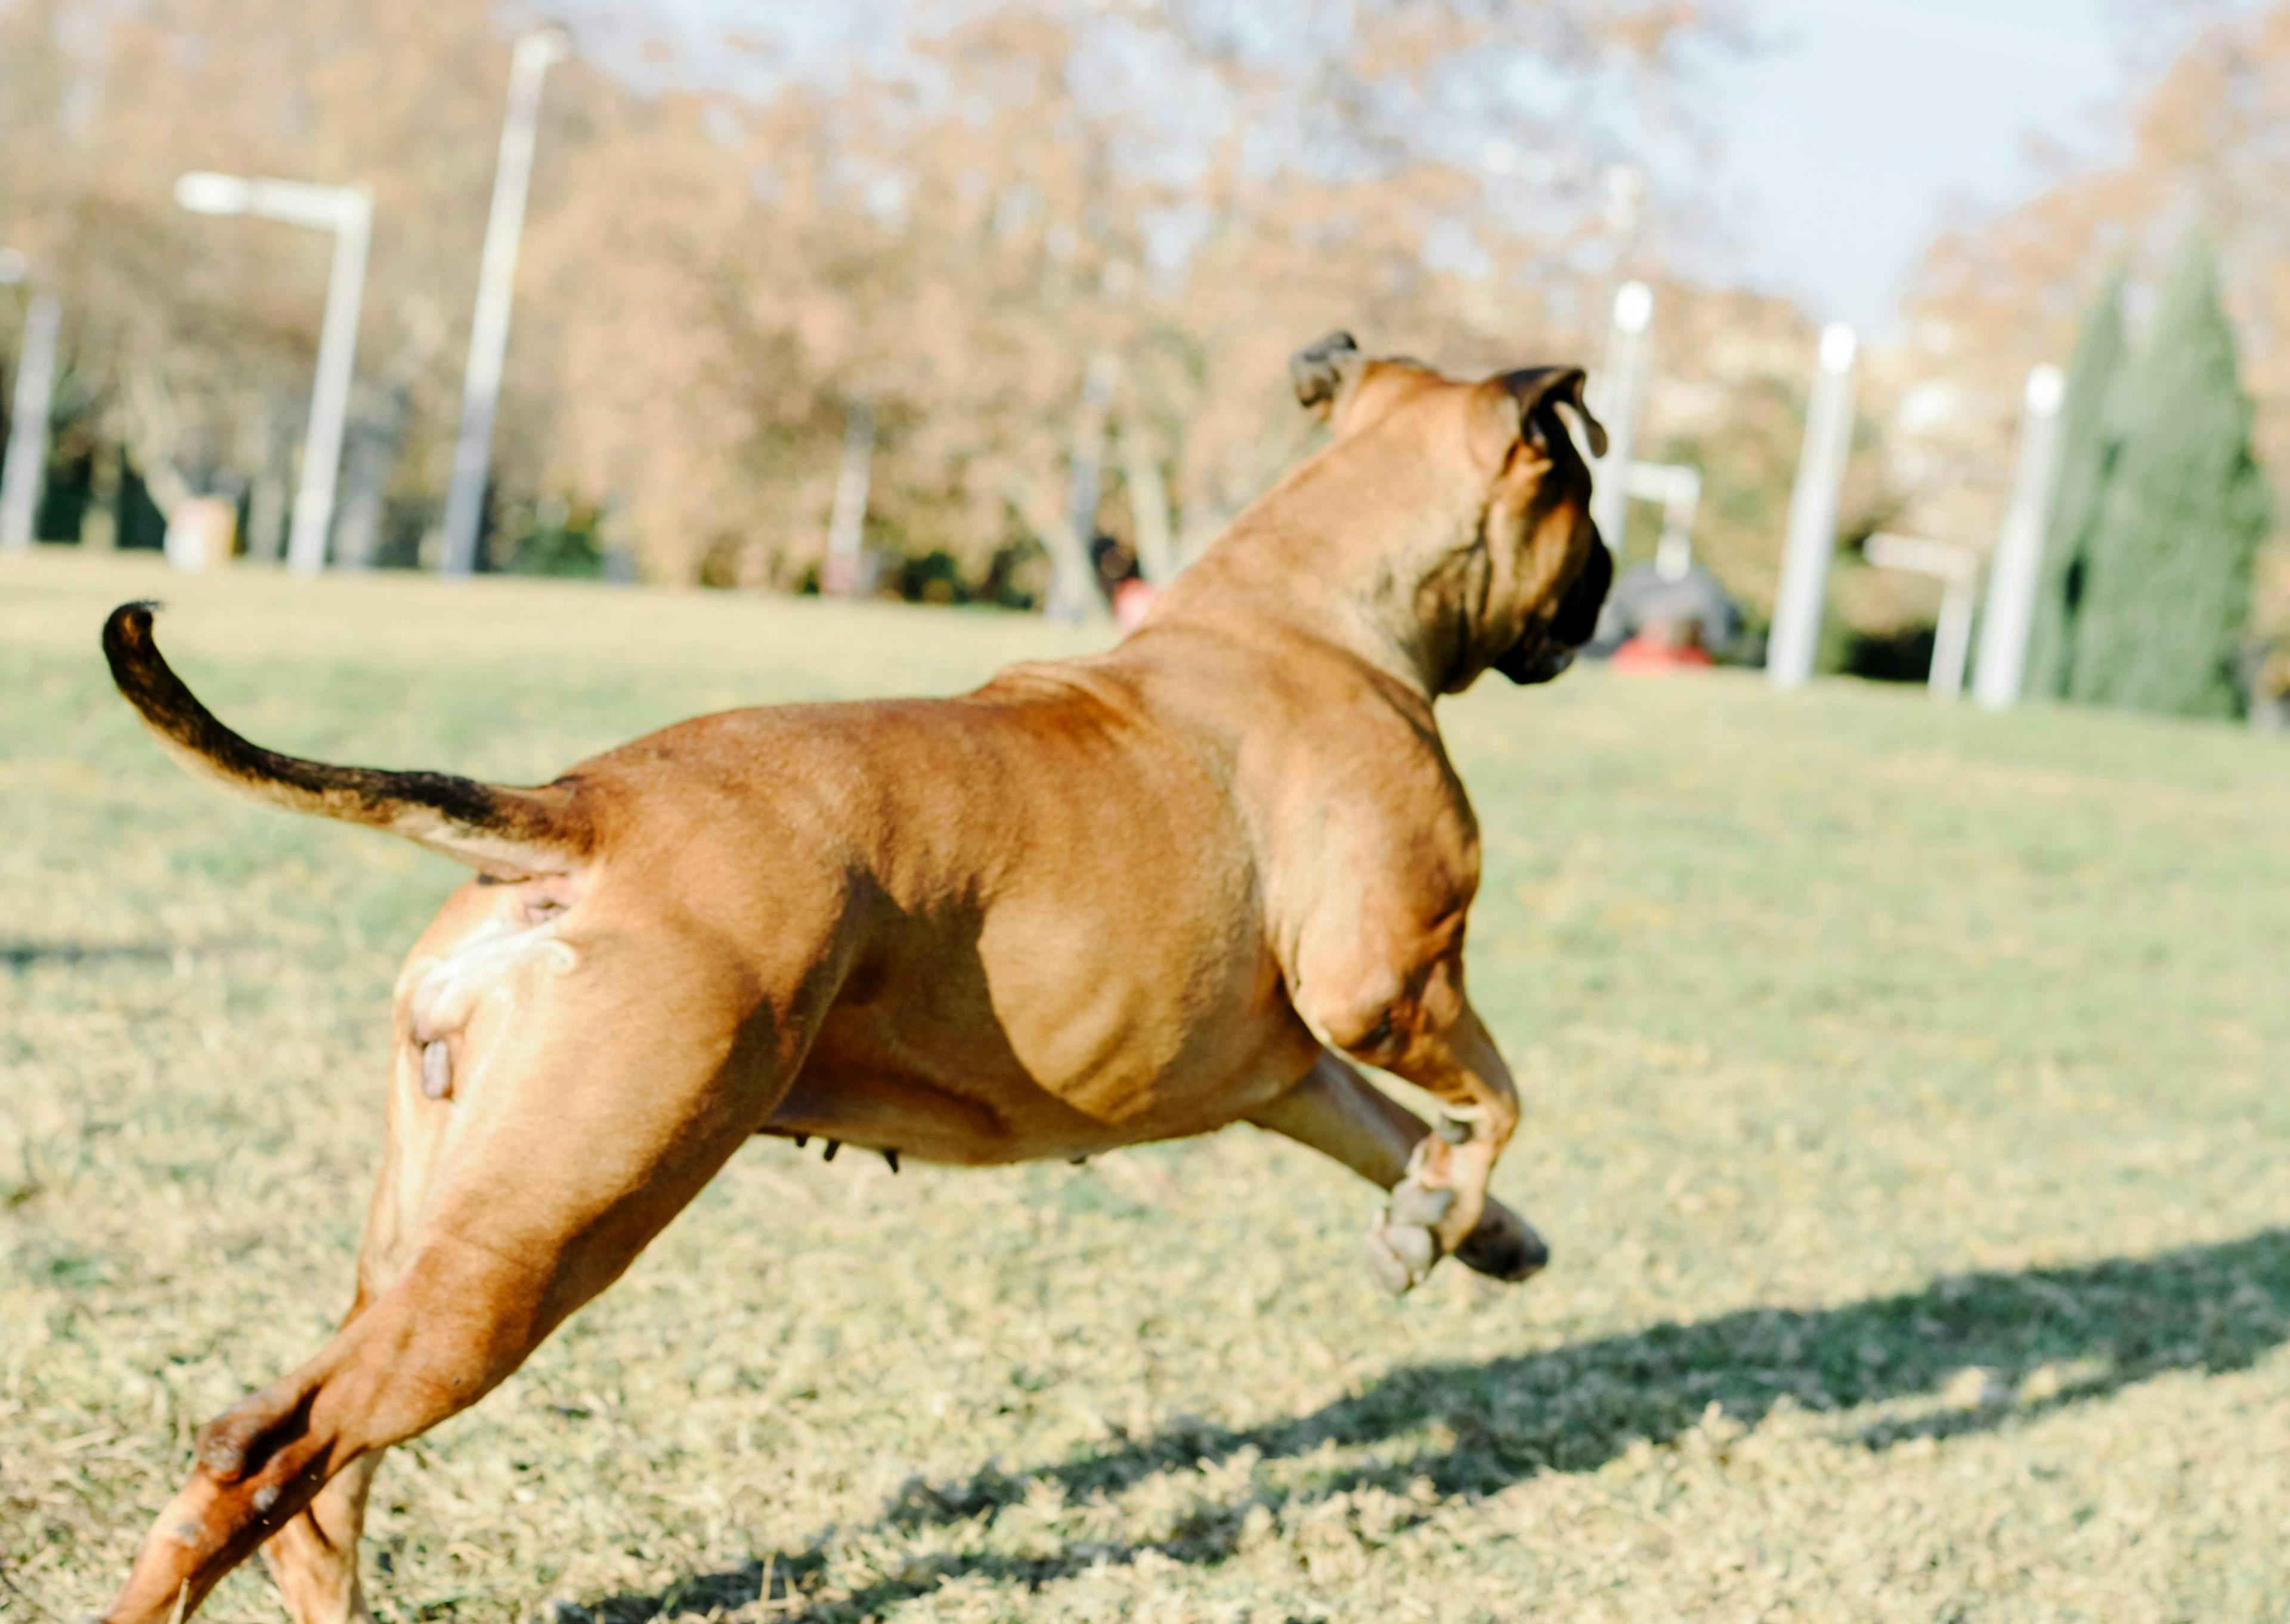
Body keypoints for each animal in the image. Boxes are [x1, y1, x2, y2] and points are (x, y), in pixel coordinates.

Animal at [94, 332, 1612, 1622]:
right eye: (1590, 492)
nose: (1608, 583)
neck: (1309, 612)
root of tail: (585, 807)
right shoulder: (1388, 987)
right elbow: (1501, 1099)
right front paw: (1451, 1214)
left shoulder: (1291, 1073)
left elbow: (1410, 1132)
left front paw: (1472, 1230)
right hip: (543, 1238)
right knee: (264, 1444)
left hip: (429, 1224)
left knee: (314, 1487)